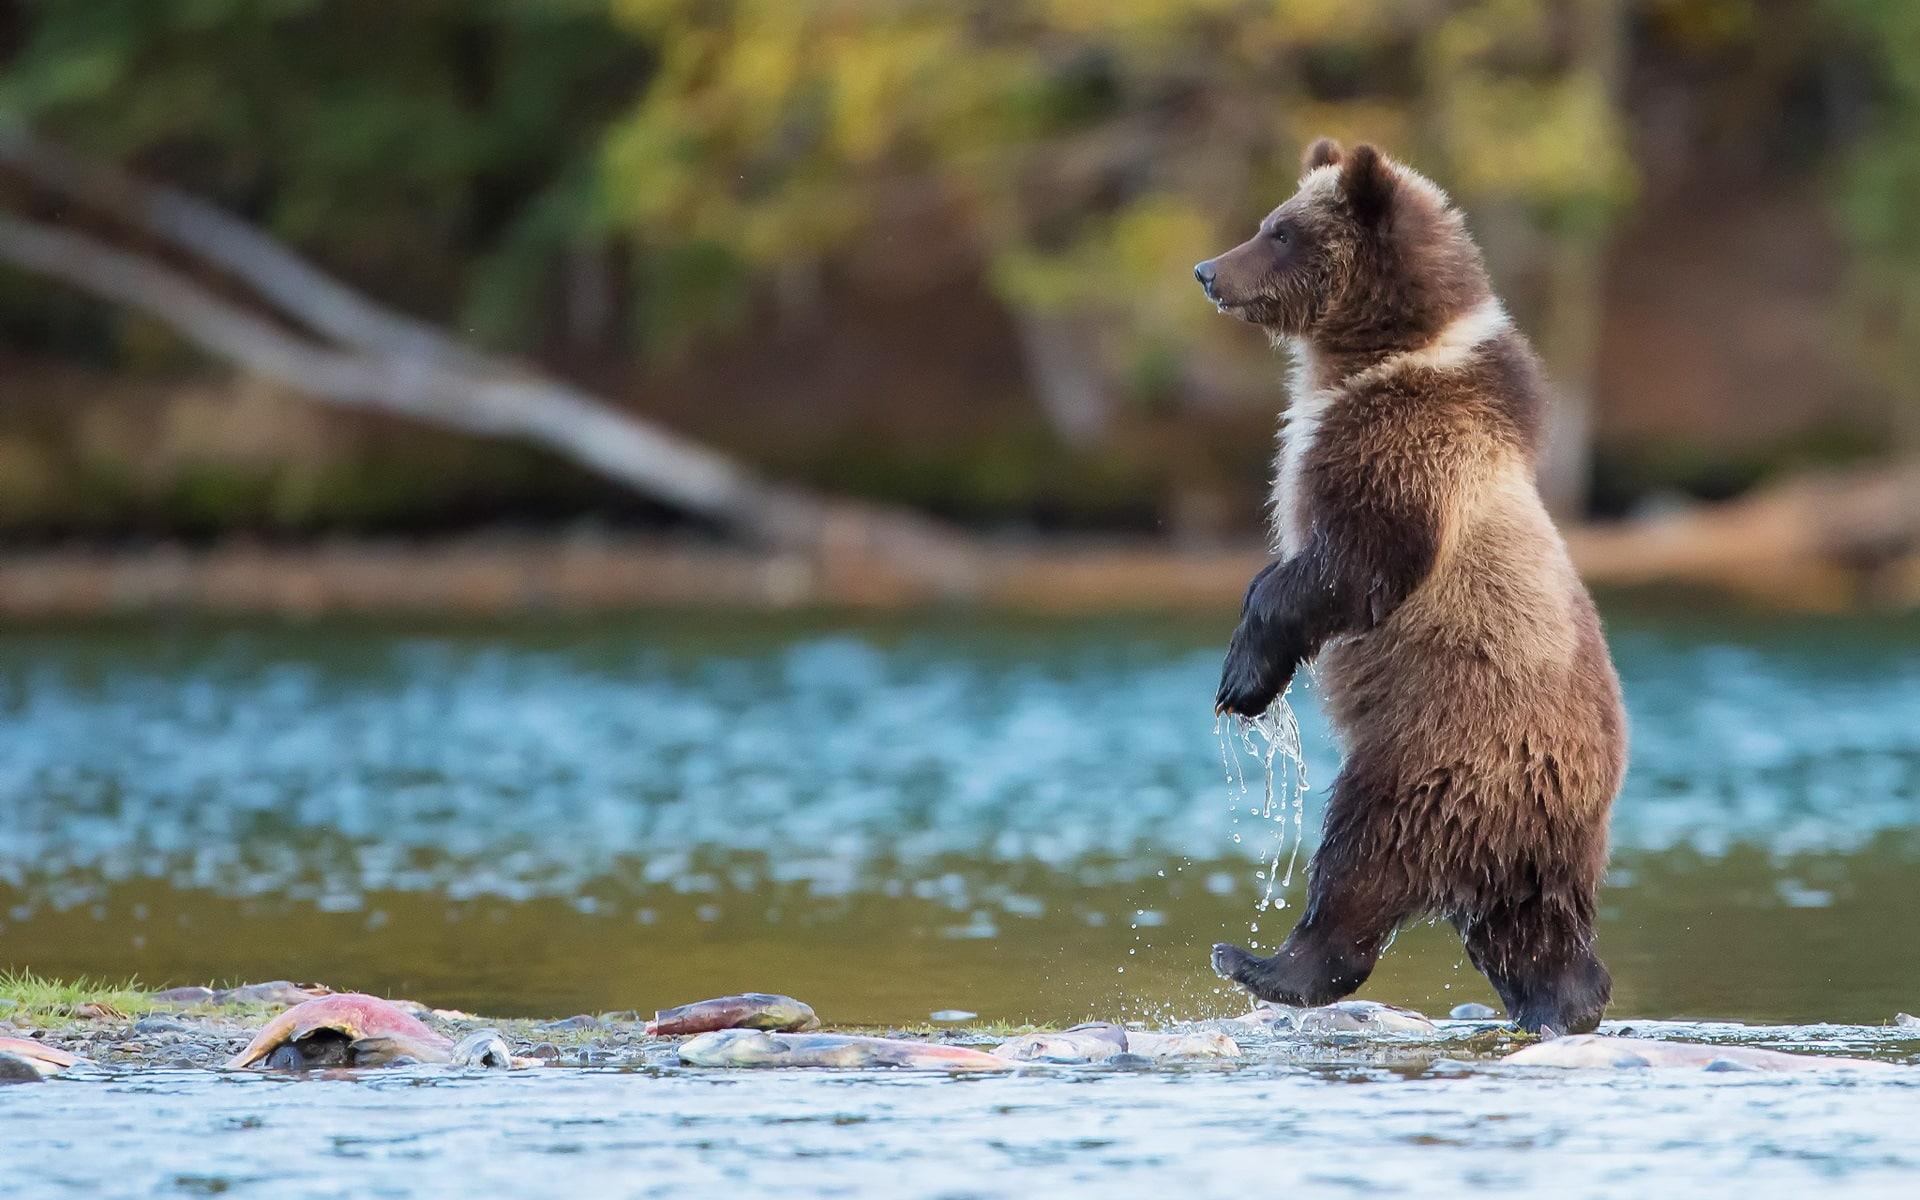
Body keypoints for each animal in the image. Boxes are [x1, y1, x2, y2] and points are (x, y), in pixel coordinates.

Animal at [1192, 139, 1628, 1035]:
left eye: (1279, 231)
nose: (1209, 271)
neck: (1377, 359)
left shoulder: (1405, 451)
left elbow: (1349, 565)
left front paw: (1243, 678)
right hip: (1539, 848)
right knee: (1535, 932)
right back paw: (1561, 1006)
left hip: (1435, 751)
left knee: (1361, 861)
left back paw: (1261, 963)